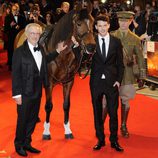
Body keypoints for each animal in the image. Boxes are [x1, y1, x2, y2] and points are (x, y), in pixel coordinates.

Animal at [39, 4, 95, 139]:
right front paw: (46, 131)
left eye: (93, 22)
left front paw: (67, 129)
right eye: (78, 23)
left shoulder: (68, 82)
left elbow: (66, 105)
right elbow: (48, 106)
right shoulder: (49, 83)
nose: (91, 47)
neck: (62, 54)